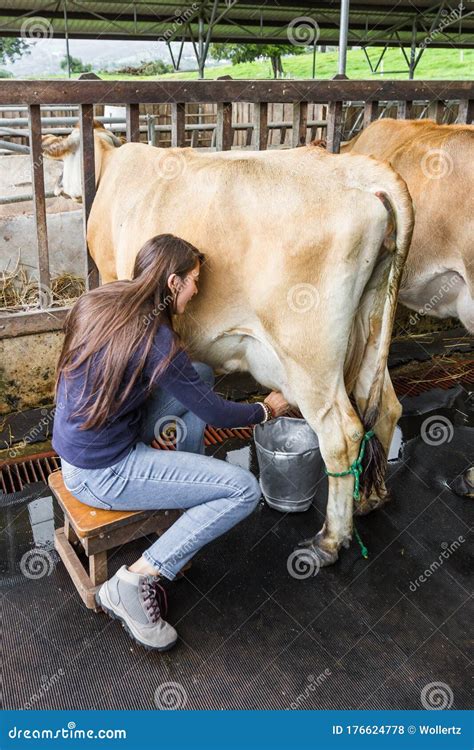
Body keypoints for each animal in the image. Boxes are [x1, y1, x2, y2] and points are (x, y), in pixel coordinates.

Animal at [42, 124, 414, 568]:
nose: (59, 188)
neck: (111, 164)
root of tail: (358, 170)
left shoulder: (113, 273)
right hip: (370, 332)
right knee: (386, 406)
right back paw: (369, 500)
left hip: (309, 357)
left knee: (341, 435)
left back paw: (329, 540)